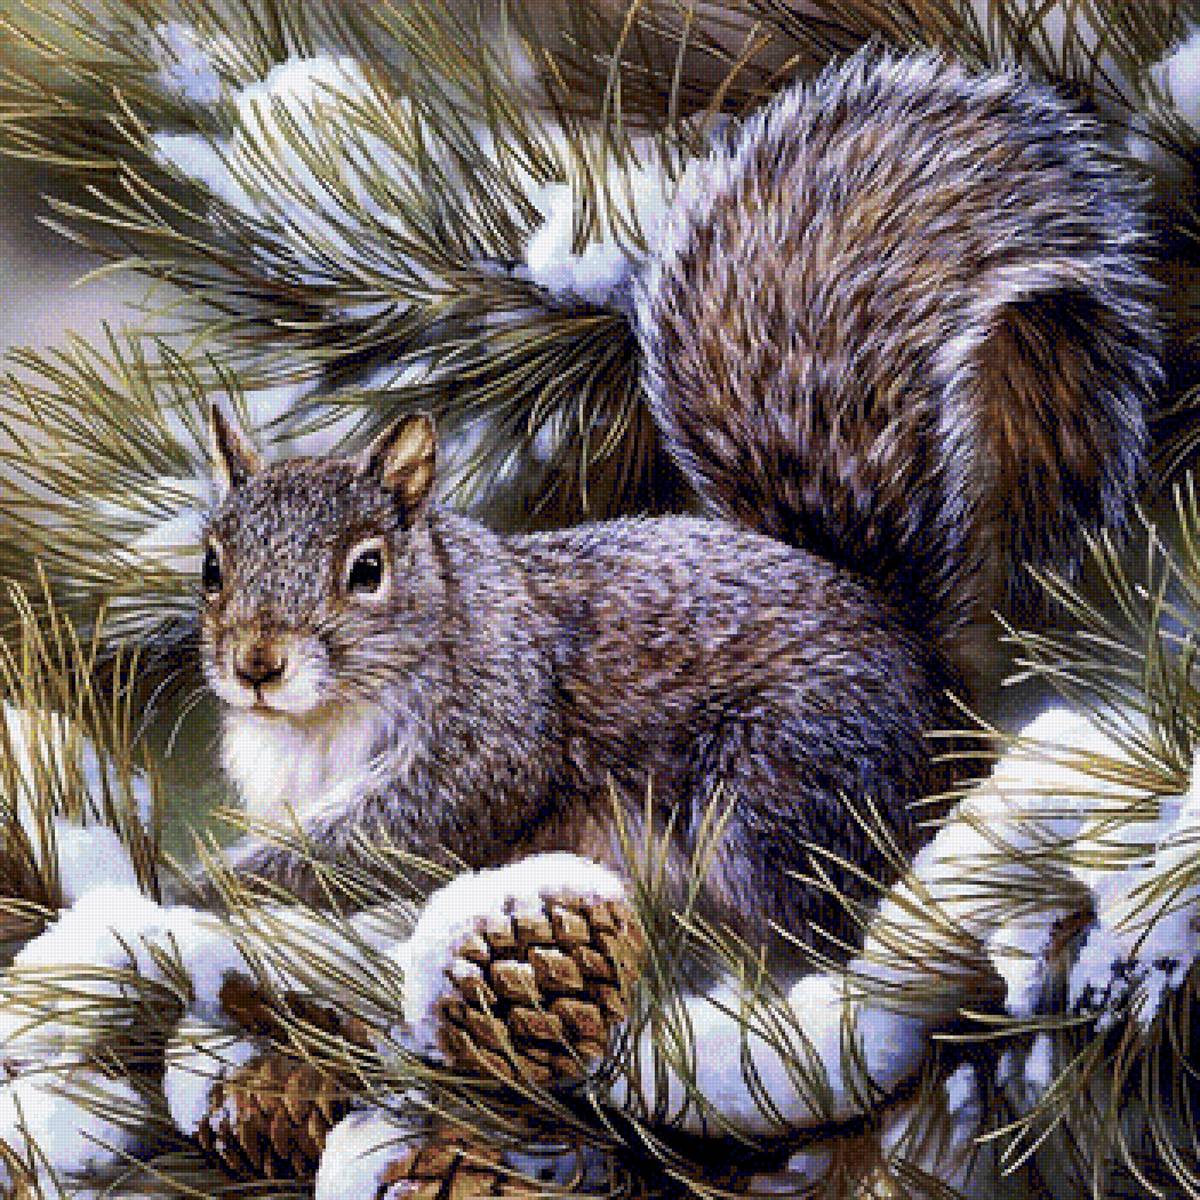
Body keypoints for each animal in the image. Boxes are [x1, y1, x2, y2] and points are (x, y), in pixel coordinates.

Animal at [197, 50, 1160, 955]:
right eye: (211, 566)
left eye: (367, 570)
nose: (257, 664)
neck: (319, 721)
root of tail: (926, 673)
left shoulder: (491, 731)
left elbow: (401, 833)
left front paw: (221, 883)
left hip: (781, 785)